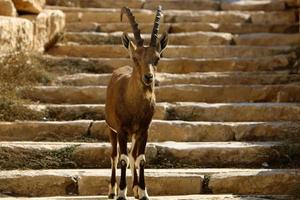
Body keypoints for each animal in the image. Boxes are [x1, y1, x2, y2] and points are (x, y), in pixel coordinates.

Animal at [105, 5, 166, 200]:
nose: (148, 77)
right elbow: (123, 159)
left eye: (157, 58)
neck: (134, 106)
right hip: (111, 129)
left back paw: (136, 190)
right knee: (114, 156)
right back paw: (112, 190)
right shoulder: (121, 130)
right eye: (135, 58)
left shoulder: (144, 130)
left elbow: (141, 159)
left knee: (132, 155)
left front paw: (144, 192)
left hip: (134, 134)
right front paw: (121, 193)